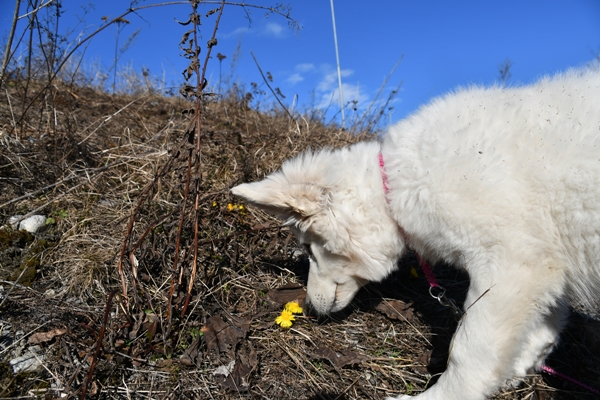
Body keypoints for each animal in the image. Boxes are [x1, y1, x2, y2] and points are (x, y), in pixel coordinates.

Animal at [231, 72, 600, 400]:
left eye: (309, 248)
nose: (309, 307)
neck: (394, 183)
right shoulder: (545, 273)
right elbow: (541, 333)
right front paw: (515, 371)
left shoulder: (513, 265)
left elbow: (469, 350)